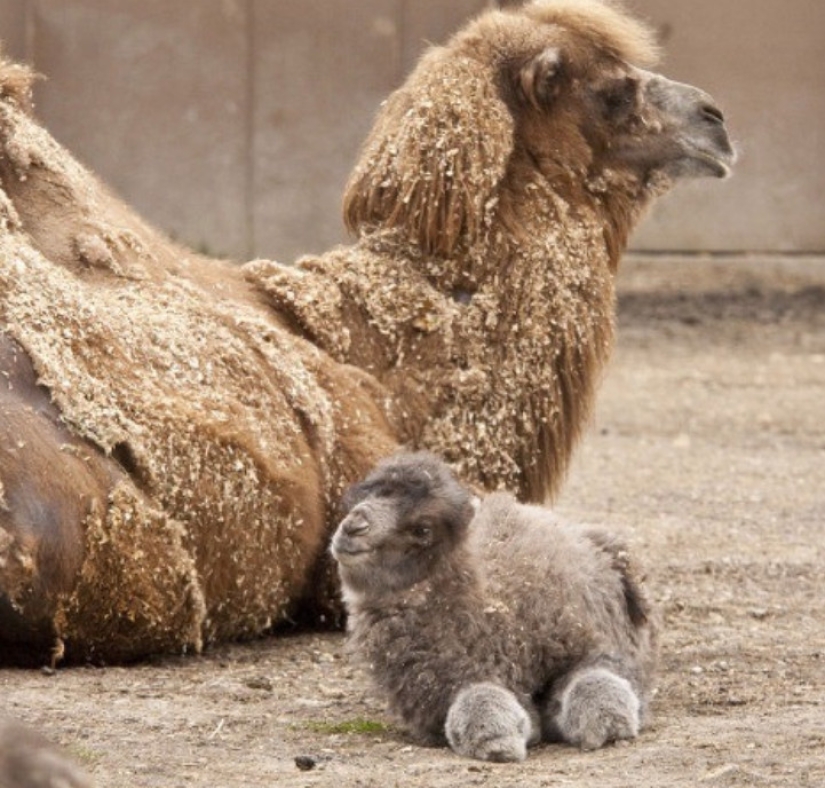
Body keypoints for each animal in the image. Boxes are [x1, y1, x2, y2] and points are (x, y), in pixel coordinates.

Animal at [328, 452, 656, 760]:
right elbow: (477, 699)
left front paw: (609, 725)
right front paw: (500, 739)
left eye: (423, 529)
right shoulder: (444, 690)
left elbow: (594, 679)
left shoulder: (591, 644)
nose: (353, 527)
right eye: (359, 498)